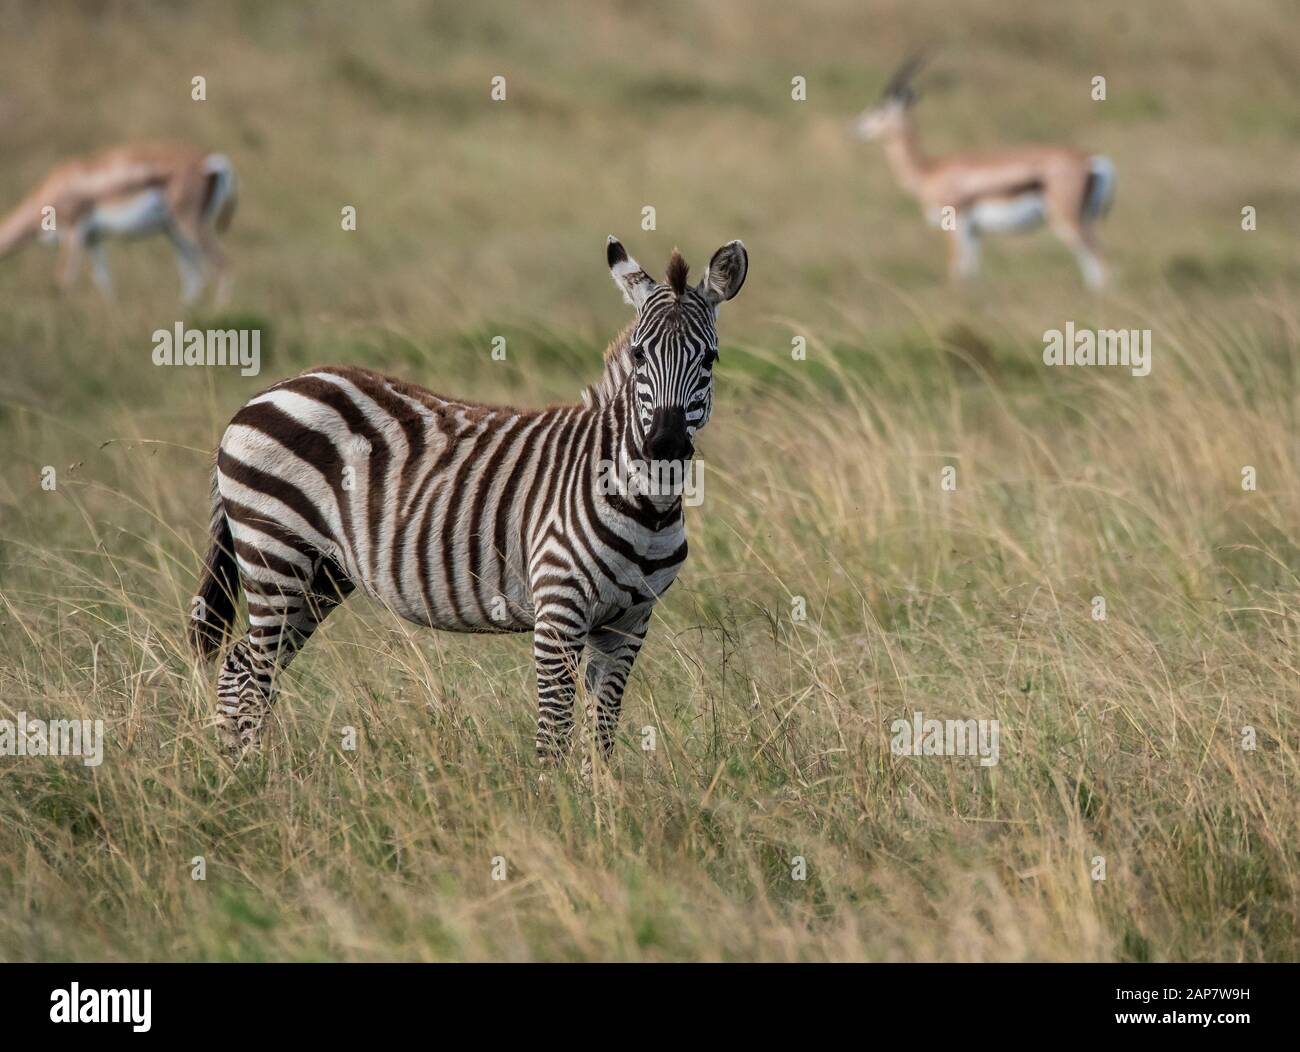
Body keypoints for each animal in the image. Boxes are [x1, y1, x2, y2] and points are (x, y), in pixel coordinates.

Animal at [188, 236, 748, 768]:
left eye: (710, 358)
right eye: (638, 355)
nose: (666, 446)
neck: (647, 509)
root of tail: (266, 393)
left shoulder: (628, 625)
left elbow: (601, 735)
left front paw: (599, 801)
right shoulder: (559, 609)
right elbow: (553, 731)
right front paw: (553, 801)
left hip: (321, 573)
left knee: (242, 669)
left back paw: (239, 775)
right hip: (276, 554)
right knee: (250, 677)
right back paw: (252, 778)